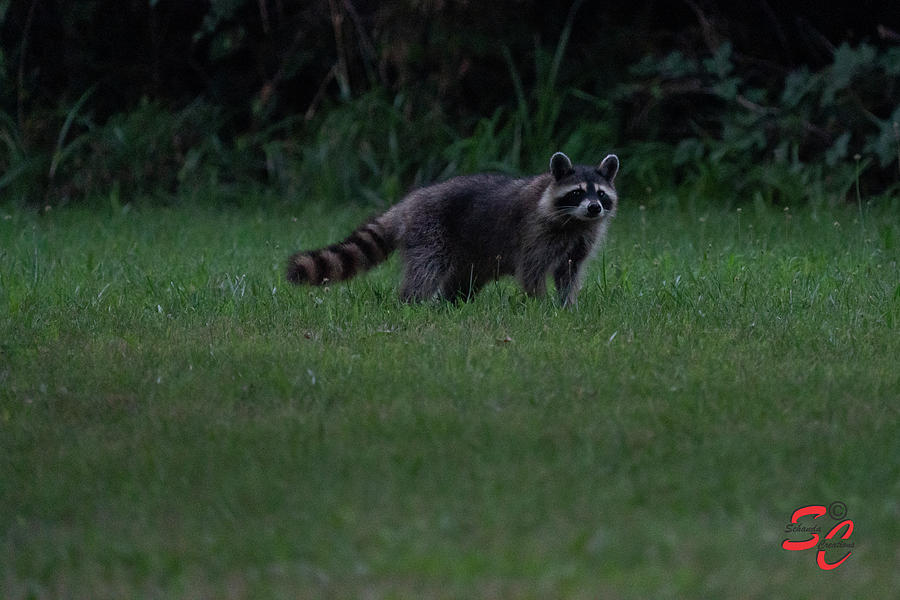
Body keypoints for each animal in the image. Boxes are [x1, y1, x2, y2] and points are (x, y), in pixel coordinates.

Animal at [286, 151, 620, 304]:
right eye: (577, 193)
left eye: (601, 195)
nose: (594, 208)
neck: (575, 222)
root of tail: (407, 204)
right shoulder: (535, 233)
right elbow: (532, 270)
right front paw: (538, 304)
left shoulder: (581, 239)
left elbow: (569, 272)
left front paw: (566, 304)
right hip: (431, 230)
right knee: (427, 268)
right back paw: (413, 301)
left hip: (471, 250)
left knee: (464, 278)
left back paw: (452, 302)